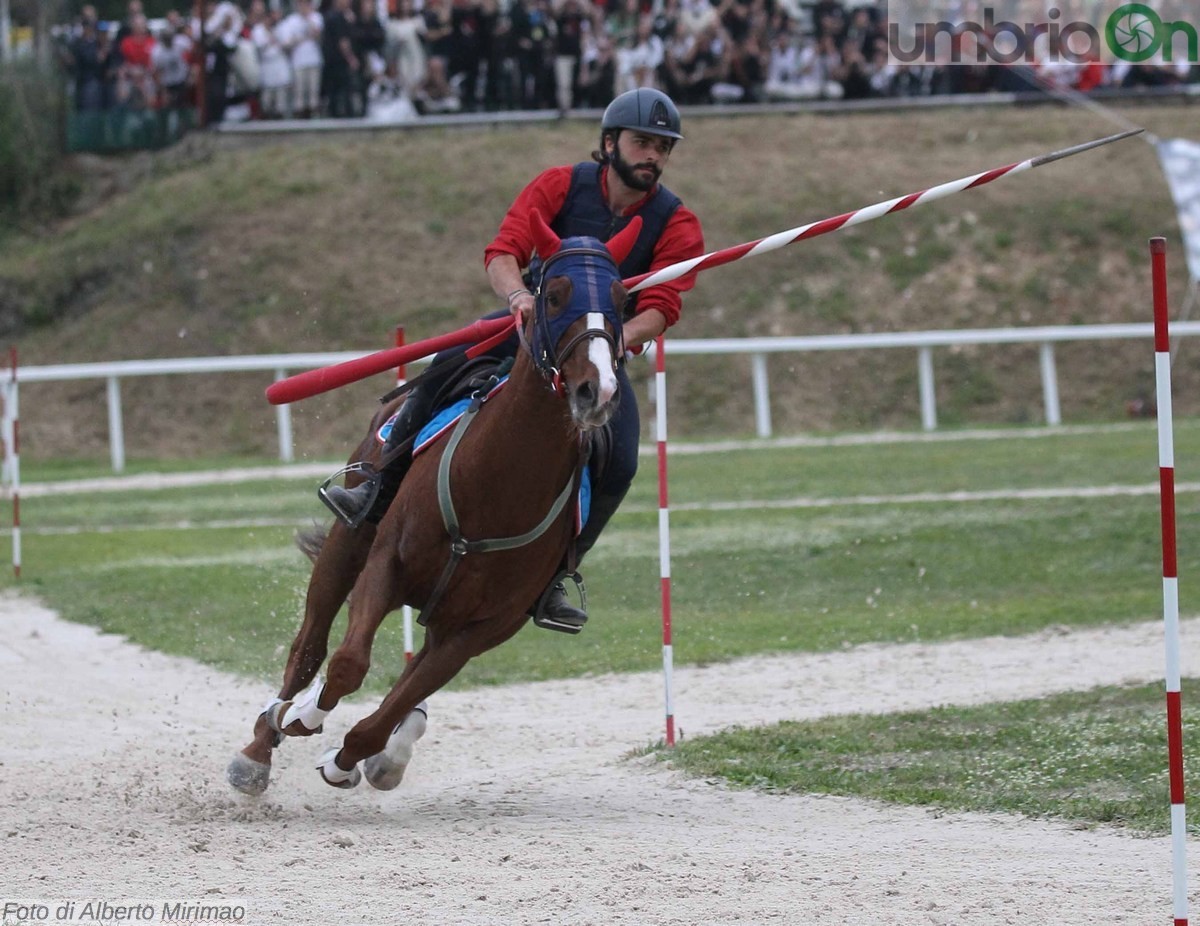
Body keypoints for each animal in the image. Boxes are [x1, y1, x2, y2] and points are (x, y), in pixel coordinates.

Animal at [223, 211, 638, 796]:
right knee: (309, 648)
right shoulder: (385, 565)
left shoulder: (478, 629)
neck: (494, 488)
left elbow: (389, 710)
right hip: (347, 543)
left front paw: (351, 759)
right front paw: (303, 716)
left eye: (623, 299)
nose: (596, 392)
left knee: (405, 687)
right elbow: (347, 664)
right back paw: (261, 745)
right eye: (555, 295)